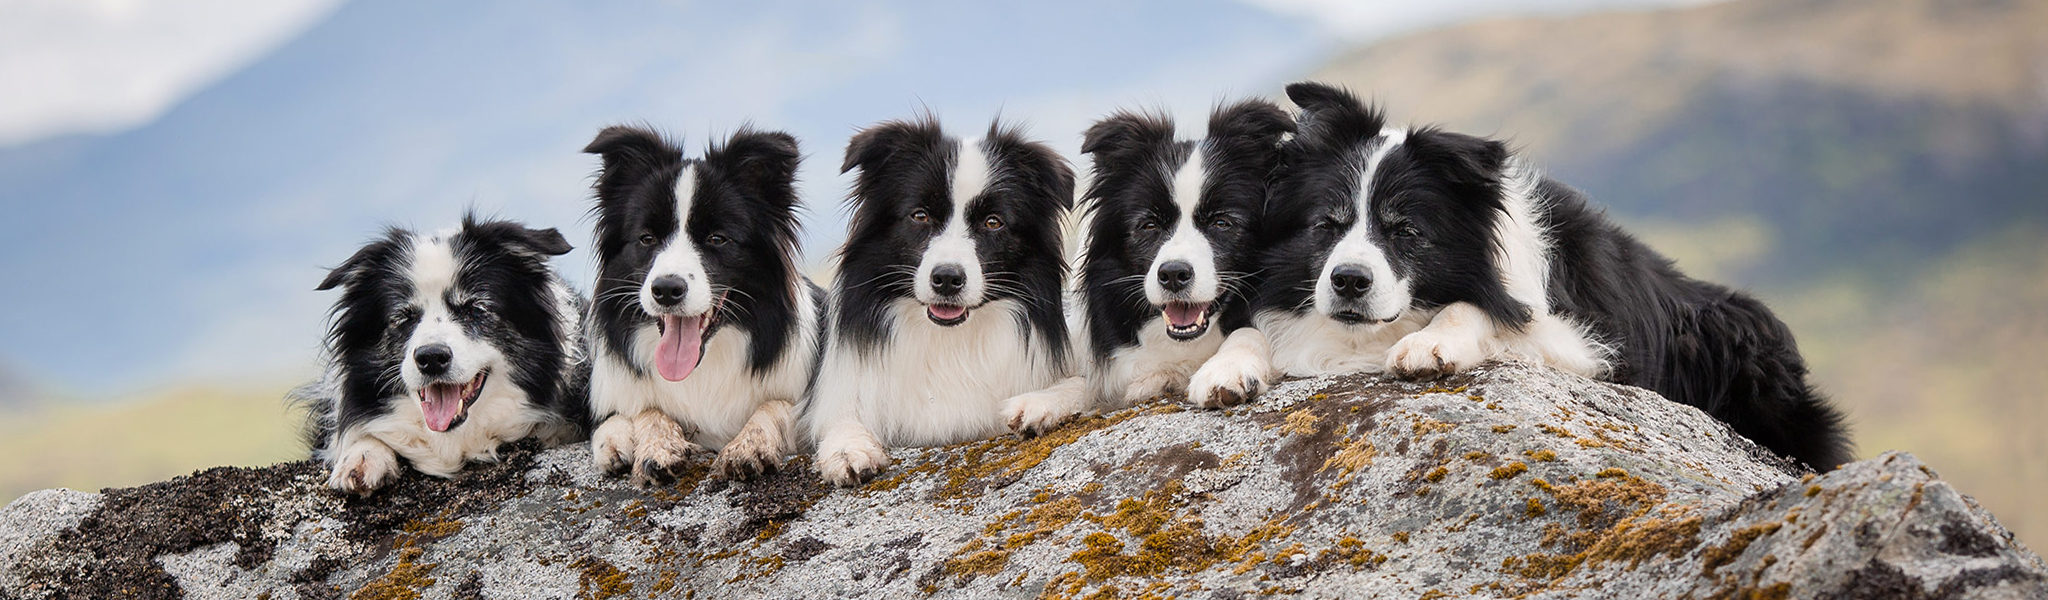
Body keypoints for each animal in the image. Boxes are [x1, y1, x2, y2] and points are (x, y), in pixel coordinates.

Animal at [577, 125, 823, 485]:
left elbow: (775, 405)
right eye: (647, 238)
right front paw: (654, 445)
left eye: (717, 239)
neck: (702, 367)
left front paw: (748, 446)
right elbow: (644, 410)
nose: (666, 290)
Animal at [806, 114, 1081, 483]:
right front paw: (848, 448)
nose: (947, 279)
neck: (948, 340)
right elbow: (840, 415)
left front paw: (1040, 403)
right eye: (920, 215)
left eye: (993, 222)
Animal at [1048, 98, 1286, 415]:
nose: (1173, 274)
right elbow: (1094, 379)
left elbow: (1251, 331)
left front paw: (1226, 368)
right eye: (1149, 225)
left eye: (1222, 223)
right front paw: (1043, 399)